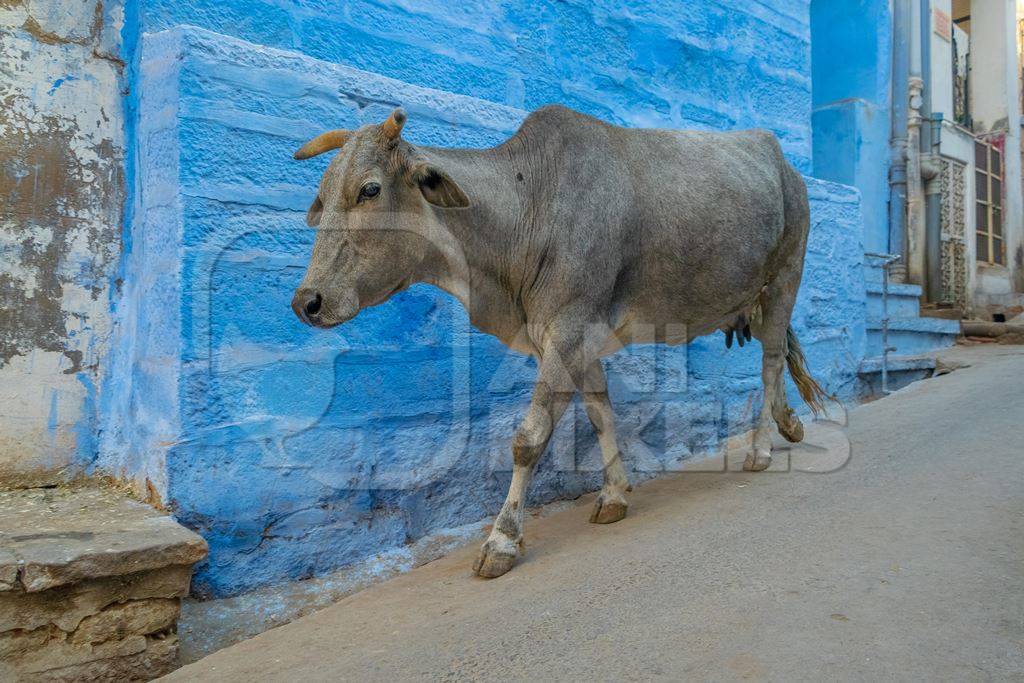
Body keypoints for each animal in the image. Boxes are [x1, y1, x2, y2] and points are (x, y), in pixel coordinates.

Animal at [288, 105, 823, 577]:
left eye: (369, 189)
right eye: (322, 197)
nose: (307, 301)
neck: (526, 213)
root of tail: (782, 160)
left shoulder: (566, 331)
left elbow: (528, 440)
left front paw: (502, 540)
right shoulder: (578, 341)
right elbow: (601, 413)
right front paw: (614, 494)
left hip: (784, 278)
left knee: (771, 363)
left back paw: (760, 449)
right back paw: (789, 424)